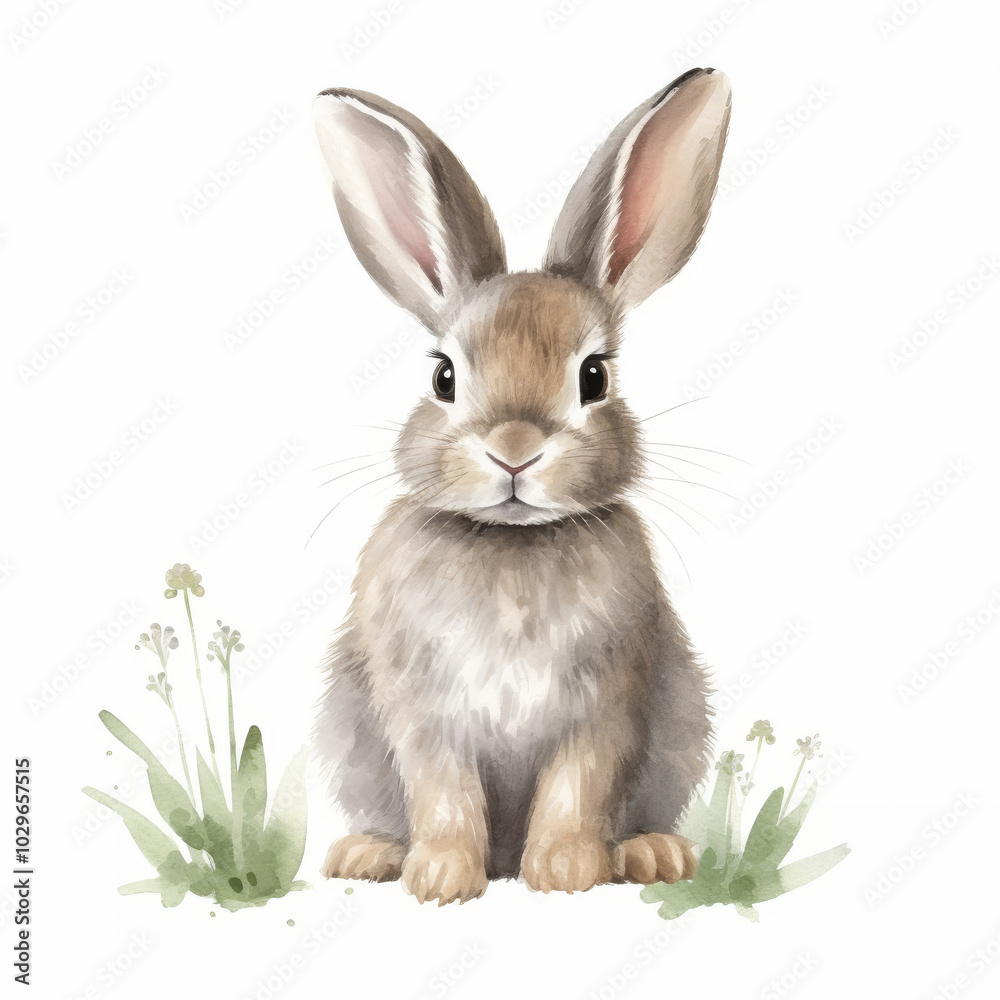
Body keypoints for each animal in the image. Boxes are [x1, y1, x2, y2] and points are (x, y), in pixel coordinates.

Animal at [311, 67, 731, 904]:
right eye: (443, 377)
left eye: (594, 376)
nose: (513, 451)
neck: (512, 545)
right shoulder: (424, 713)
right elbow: (443, 791)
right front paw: (441, 877)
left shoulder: (606, 705)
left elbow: (578, 786)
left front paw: (566, 872)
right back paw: (370, 854)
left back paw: (651, 854)